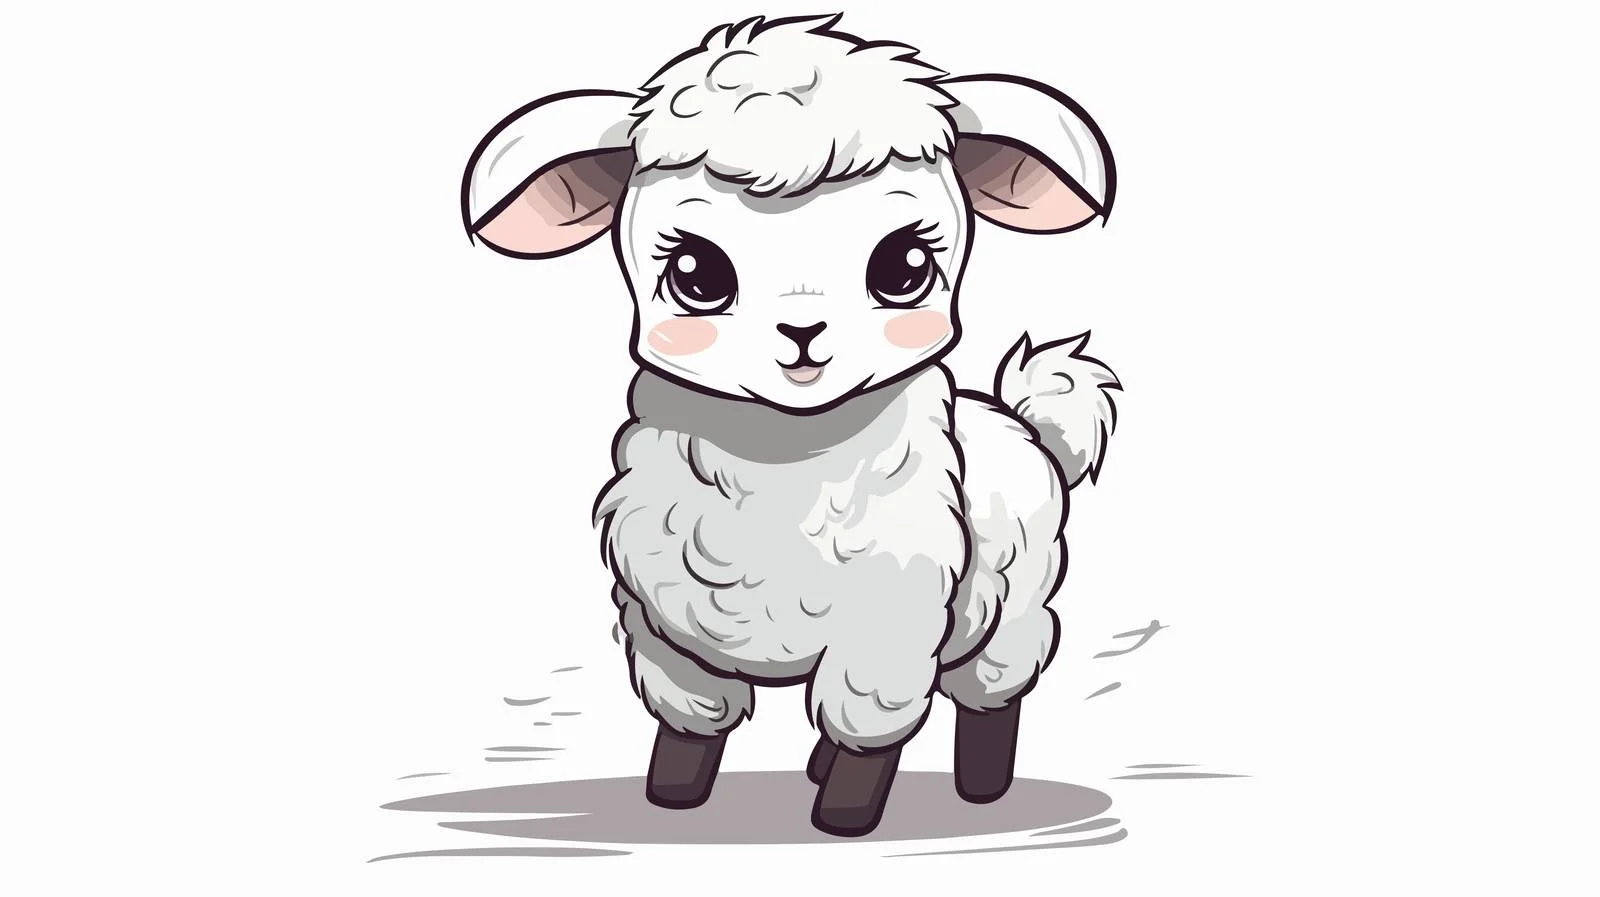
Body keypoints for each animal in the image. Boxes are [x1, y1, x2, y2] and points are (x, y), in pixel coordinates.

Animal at [460, 13, 1121, 837]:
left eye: (904, 267)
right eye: (695, 274)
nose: (803, 333)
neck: (783, 460)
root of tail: (1024, 423)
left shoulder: (884, 638)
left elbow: (870, 732)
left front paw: (845, 816)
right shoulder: (665, 630)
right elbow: (690, 724)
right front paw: (672, 796)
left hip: (1011, 613)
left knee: (990, 697)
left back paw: (980, 786)